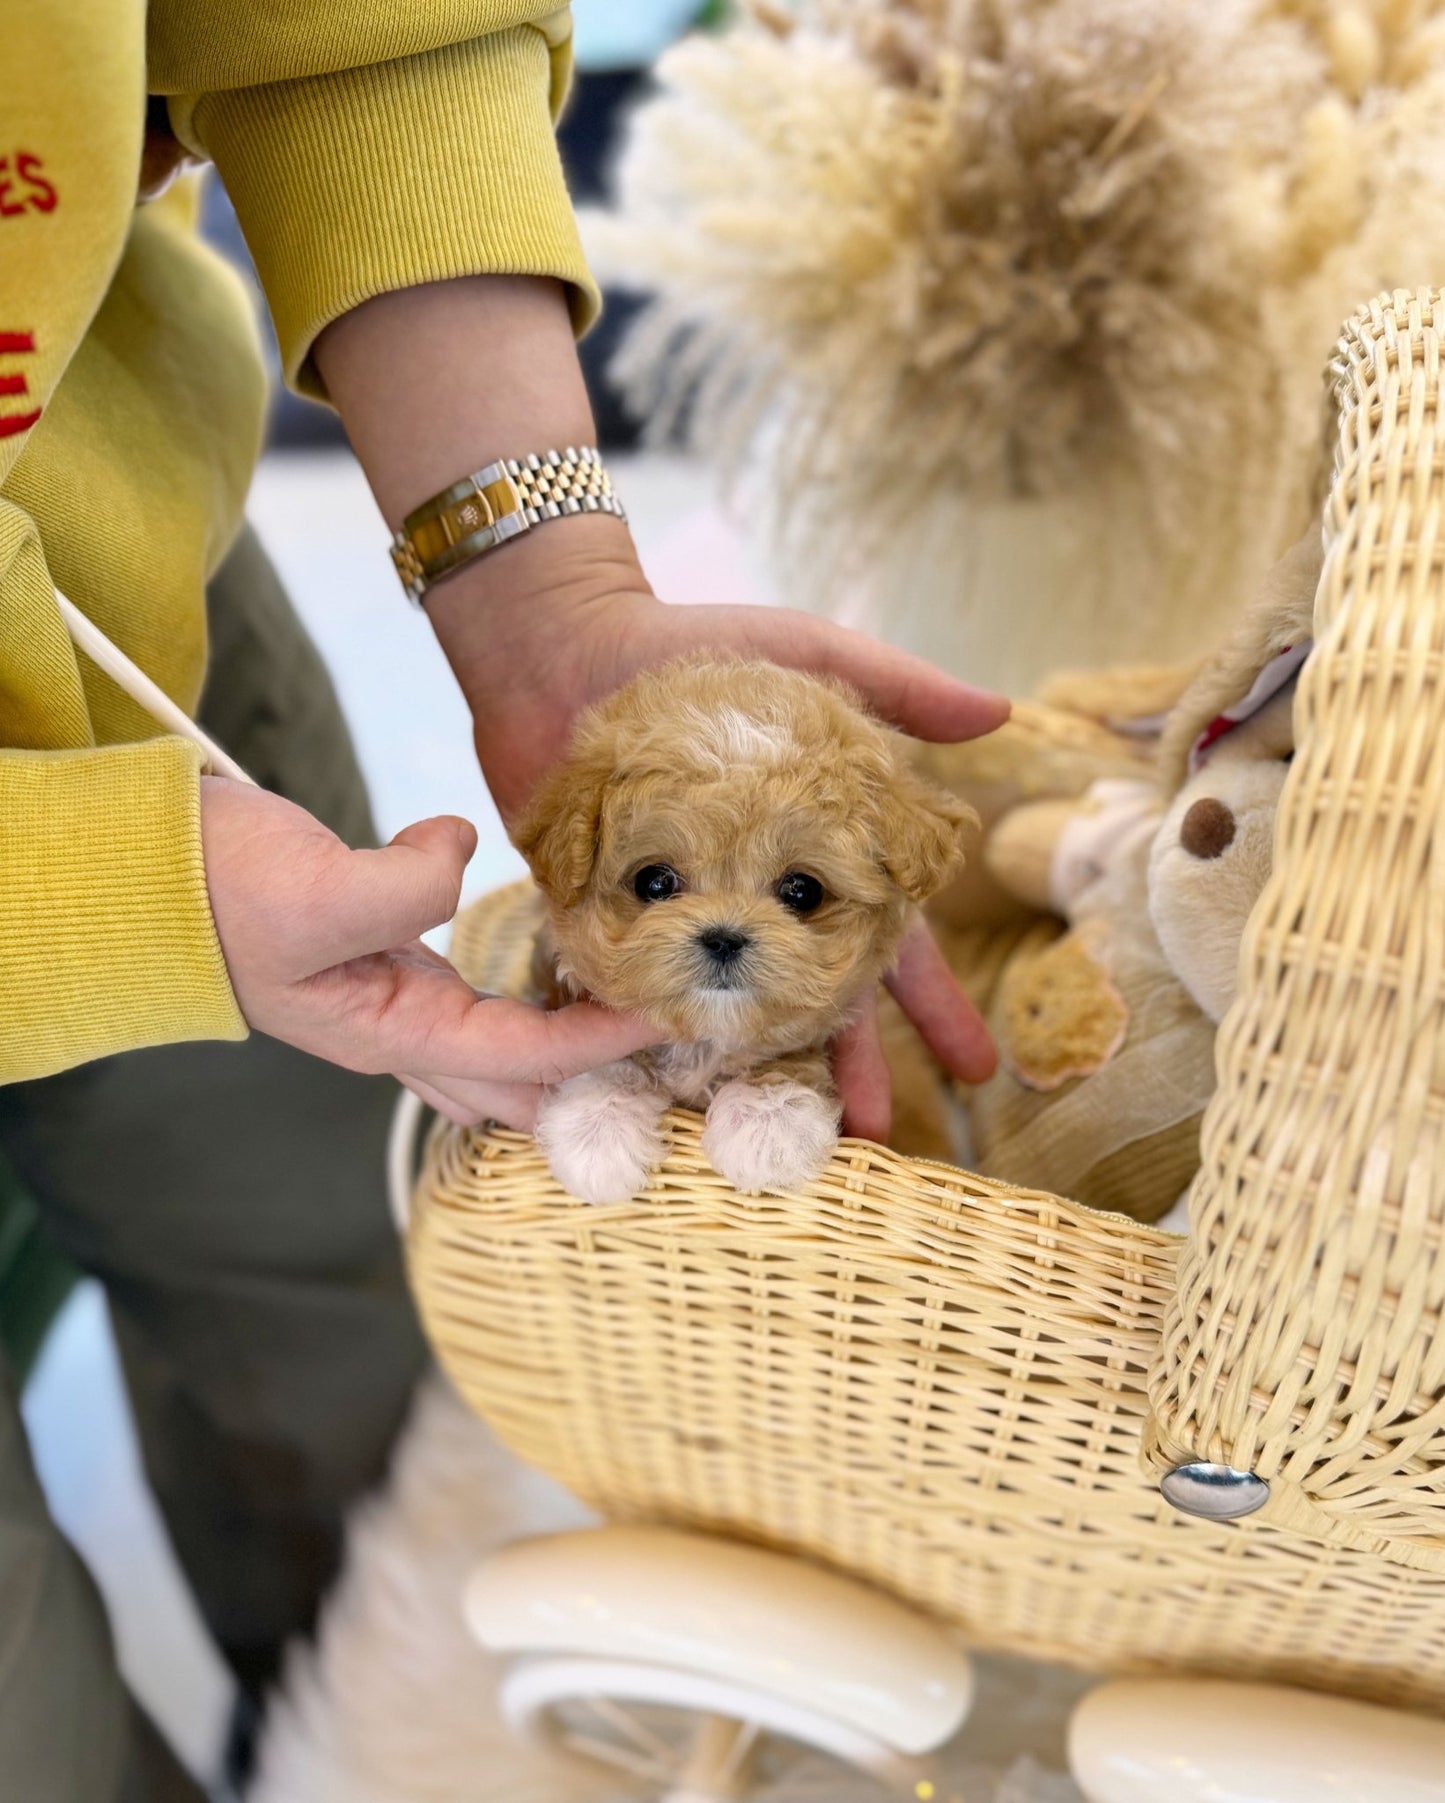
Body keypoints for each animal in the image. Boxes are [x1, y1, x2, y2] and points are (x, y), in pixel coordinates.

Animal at [508, 656, 966, 1204]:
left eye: (802, 891)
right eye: (654, 882)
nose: (724, 937)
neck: (708, 1039)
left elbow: (792, 1052)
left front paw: (769, 1119)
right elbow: (603, 1061)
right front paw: (597, 1130)